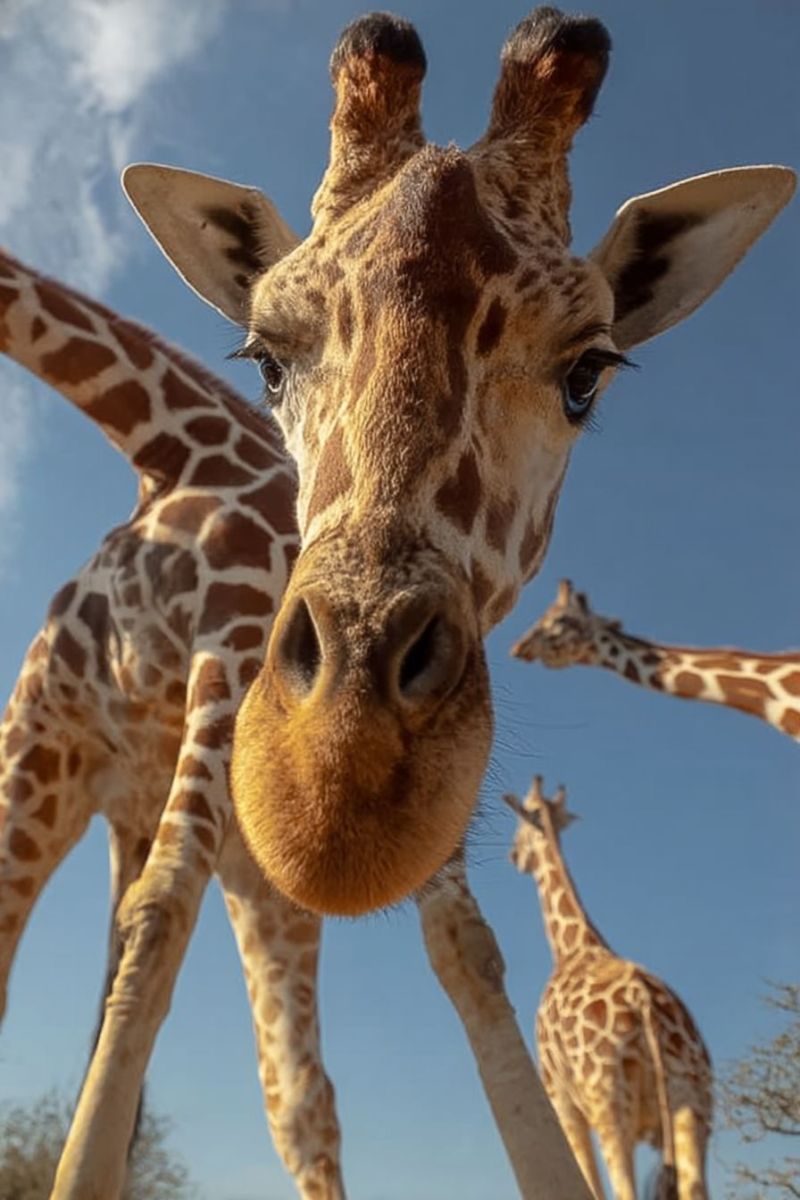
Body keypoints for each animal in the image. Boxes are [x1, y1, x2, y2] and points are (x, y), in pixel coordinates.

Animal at [505, 776, 713, 1200]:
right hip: (693, 1103)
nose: (513, 855)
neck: (574, 948)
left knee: (624, 1189)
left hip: (609, 1105)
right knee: (695, 1186)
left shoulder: (561, 1099)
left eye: (520, 826)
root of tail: (644, 1005)